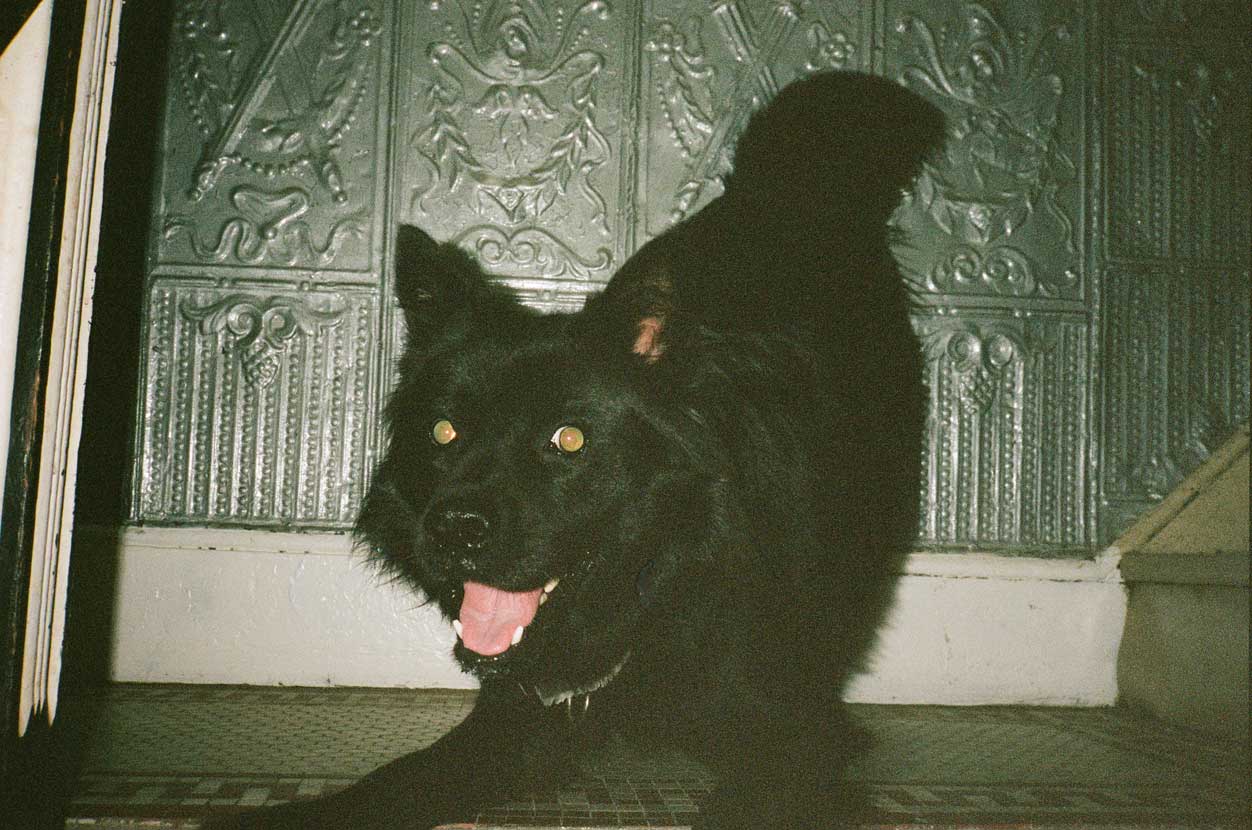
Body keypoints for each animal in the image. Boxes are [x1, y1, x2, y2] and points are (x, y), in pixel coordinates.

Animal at [225, 71, 941, 830]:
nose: (455, 529)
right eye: (444, 433)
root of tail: (784, 191)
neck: (658, 582)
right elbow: (398, 779)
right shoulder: (518, 714)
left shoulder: (792, 738)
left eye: (568, 439)